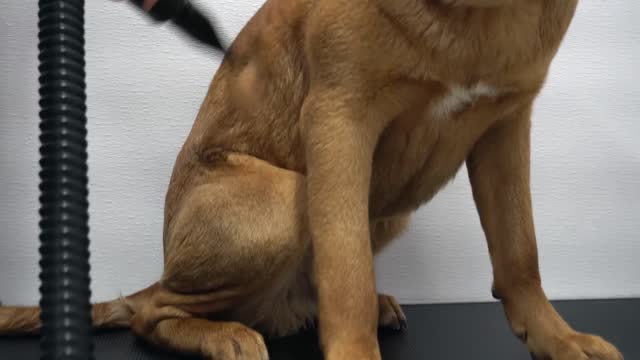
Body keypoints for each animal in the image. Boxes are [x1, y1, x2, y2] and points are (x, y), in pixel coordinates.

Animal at [0, 0, 624, 360]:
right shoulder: (338, 121)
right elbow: (346, 271)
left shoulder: (505, 126)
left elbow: (520, 256)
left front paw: (558, 340)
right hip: (281, 199)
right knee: (151, 312)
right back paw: (221, 334)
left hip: (381, 209)